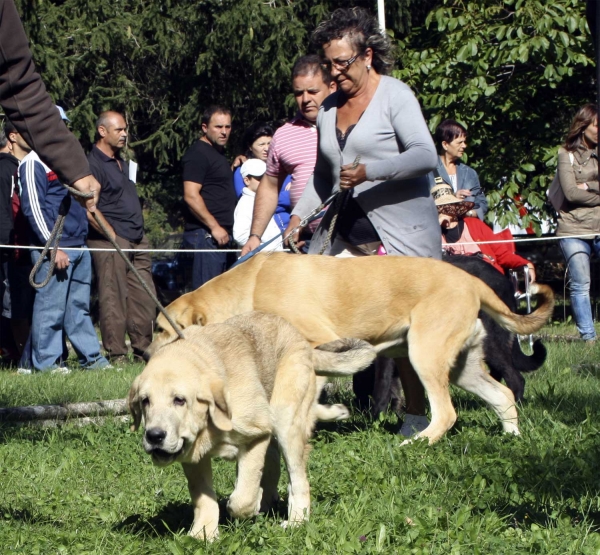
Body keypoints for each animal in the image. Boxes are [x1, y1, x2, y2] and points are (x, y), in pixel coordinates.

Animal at [130, 312, 376, 544]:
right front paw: (203, 533)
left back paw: (296, 520)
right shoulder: (193, 457)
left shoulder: (256, 435)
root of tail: (303, 342)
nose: (154, 436)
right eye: (145, 401)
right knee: (273, 463)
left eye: (179, 400)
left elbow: (242, 498)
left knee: (297, 478)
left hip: (285, 419)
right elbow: (204, 498)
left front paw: (247, 507)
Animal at [148, 254, 556, 446]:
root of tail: (472, 280)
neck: (250, 286)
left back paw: (415, 444)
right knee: (503, 395)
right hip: (462, 367)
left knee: (447, 413)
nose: (144, 356)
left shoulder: (316, 344)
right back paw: (511, 437)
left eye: (161, 329)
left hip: (424, 356)